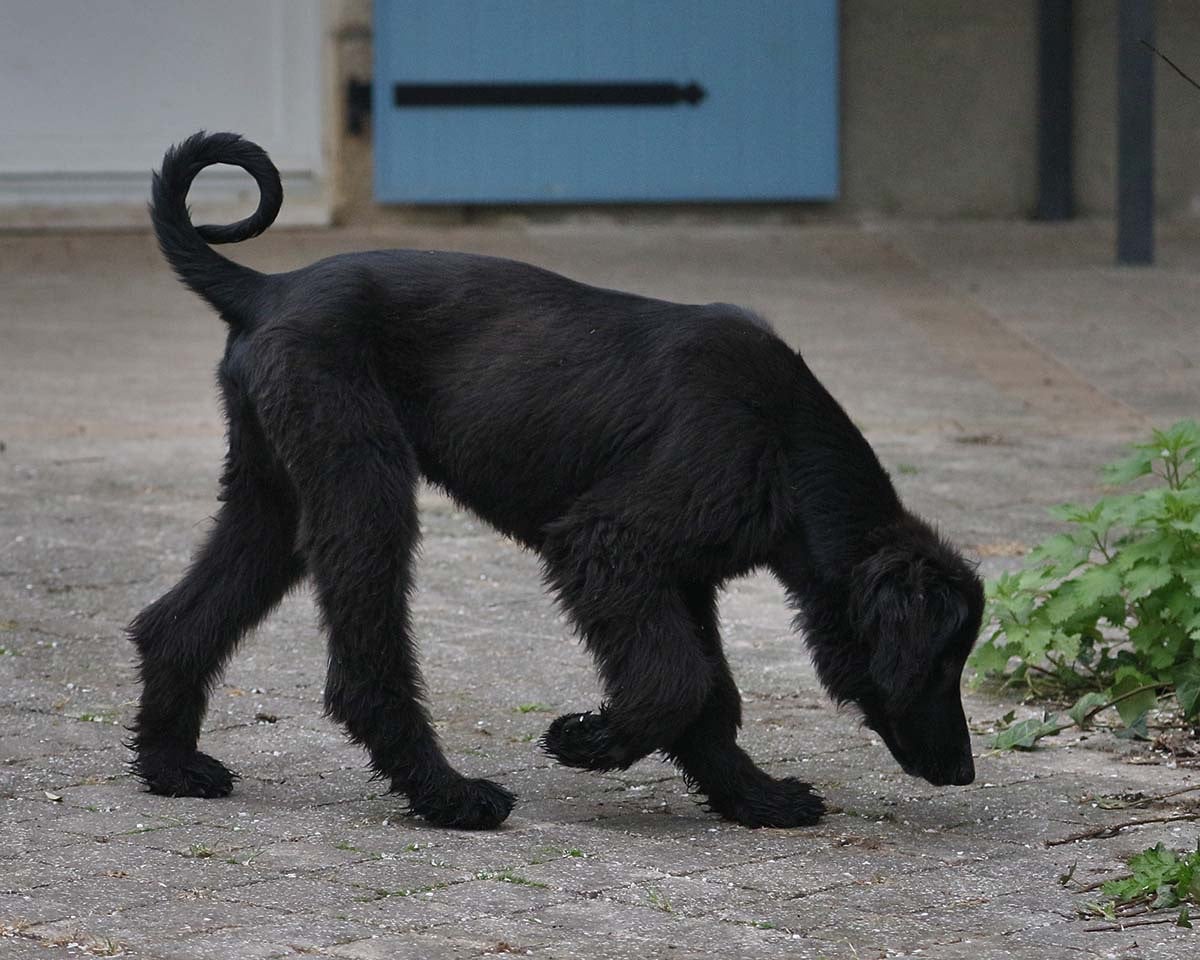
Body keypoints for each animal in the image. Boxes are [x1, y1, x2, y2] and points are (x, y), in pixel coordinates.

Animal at [128, 132, 984, 830]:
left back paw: (172, 767)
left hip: (274, 496)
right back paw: (449, 796)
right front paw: (591, 741)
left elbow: (709, 688)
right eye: (942, 661)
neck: (783, 441)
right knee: (363, 669)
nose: (965, 772)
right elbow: (678, 679)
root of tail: (266, 289)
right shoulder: (607, 544)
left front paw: (752, 796)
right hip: (362, 487)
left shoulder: (680, 576)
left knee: (177, 622)